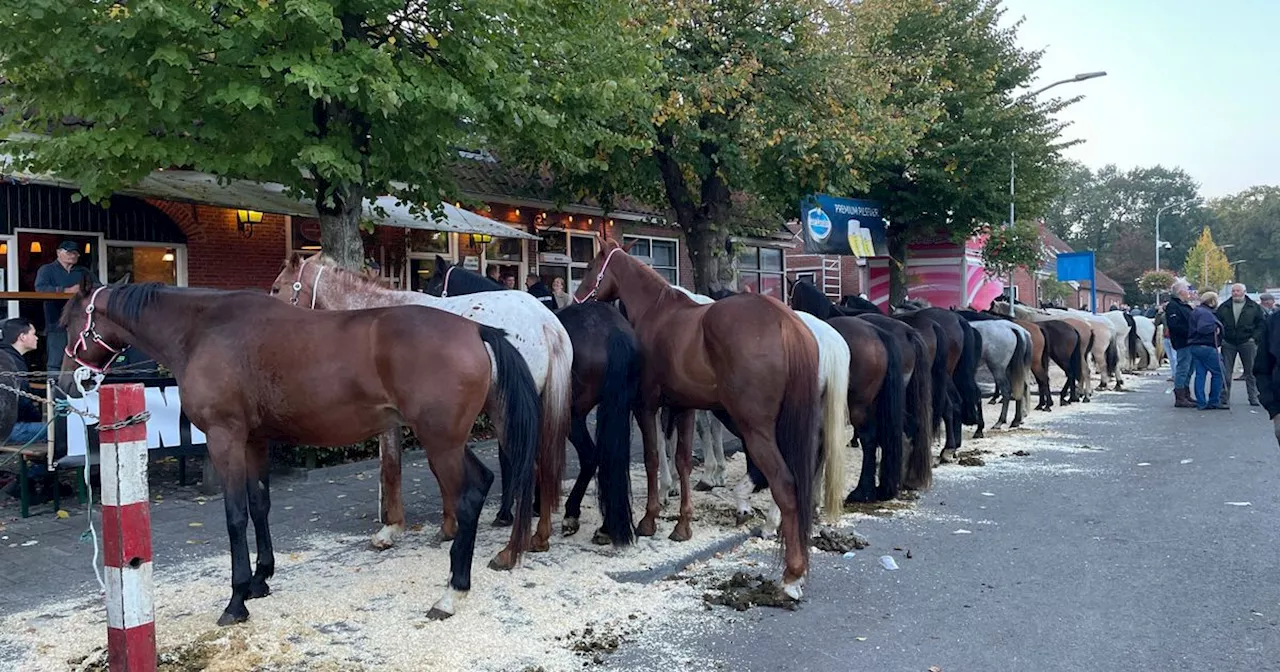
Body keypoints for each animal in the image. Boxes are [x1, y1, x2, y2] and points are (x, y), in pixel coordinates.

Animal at [58, 277, 540, 624]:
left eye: (67, 321)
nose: (68, 383)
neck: (203, 330)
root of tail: (476, 328)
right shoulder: (254, 440)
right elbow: (259, 506)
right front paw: (260, 580)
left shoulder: (224, 438)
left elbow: (235, 516)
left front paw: (236, 601)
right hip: (448, 440)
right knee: (483, 483)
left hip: (440, 442)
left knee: (470, 496)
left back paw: (451, 592)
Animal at [419, 257, 640, 545]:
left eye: (433, 285)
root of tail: (612, 329)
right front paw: (534, 505)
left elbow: (509, 458)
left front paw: (507, 512)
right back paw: (604, 525)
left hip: (573, 415)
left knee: (591, 456)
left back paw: (572, 513)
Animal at [573, 239, 829, 596]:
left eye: (589, 266)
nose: (577, 299)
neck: (656, 313)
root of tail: (785, 322)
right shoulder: (684, 407)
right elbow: (682, 461)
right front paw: (682, 524)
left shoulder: (646, 405)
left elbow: (653, 457)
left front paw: (650, 519)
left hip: (756, 429)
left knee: (785, 484)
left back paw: (791, 574)